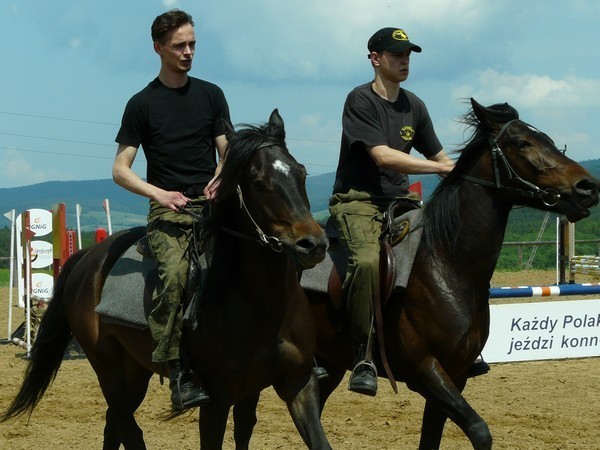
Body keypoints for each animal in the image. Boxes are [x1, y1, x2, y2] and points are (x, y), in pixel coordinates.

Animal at [0, 110, 330, 448]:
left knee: (113, 422)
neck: (262, 303)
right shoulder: (218, 399)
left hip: (134, 369)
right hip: (109, 368)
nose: (314, 244)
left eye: (301, 173)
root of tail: (90, 256)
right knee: (127, 426)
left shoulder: (296, 384)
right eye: (258, 183)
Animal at [229, 99, 596, 450]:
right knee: (245, 421)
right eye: (522, 143)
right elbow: (480, 431)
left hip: (327, 363)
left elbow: (431, 439)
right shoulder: (426, 372)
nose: (588, 187)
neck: (447, 266)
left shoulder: (455, 375)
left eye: (550, 141)